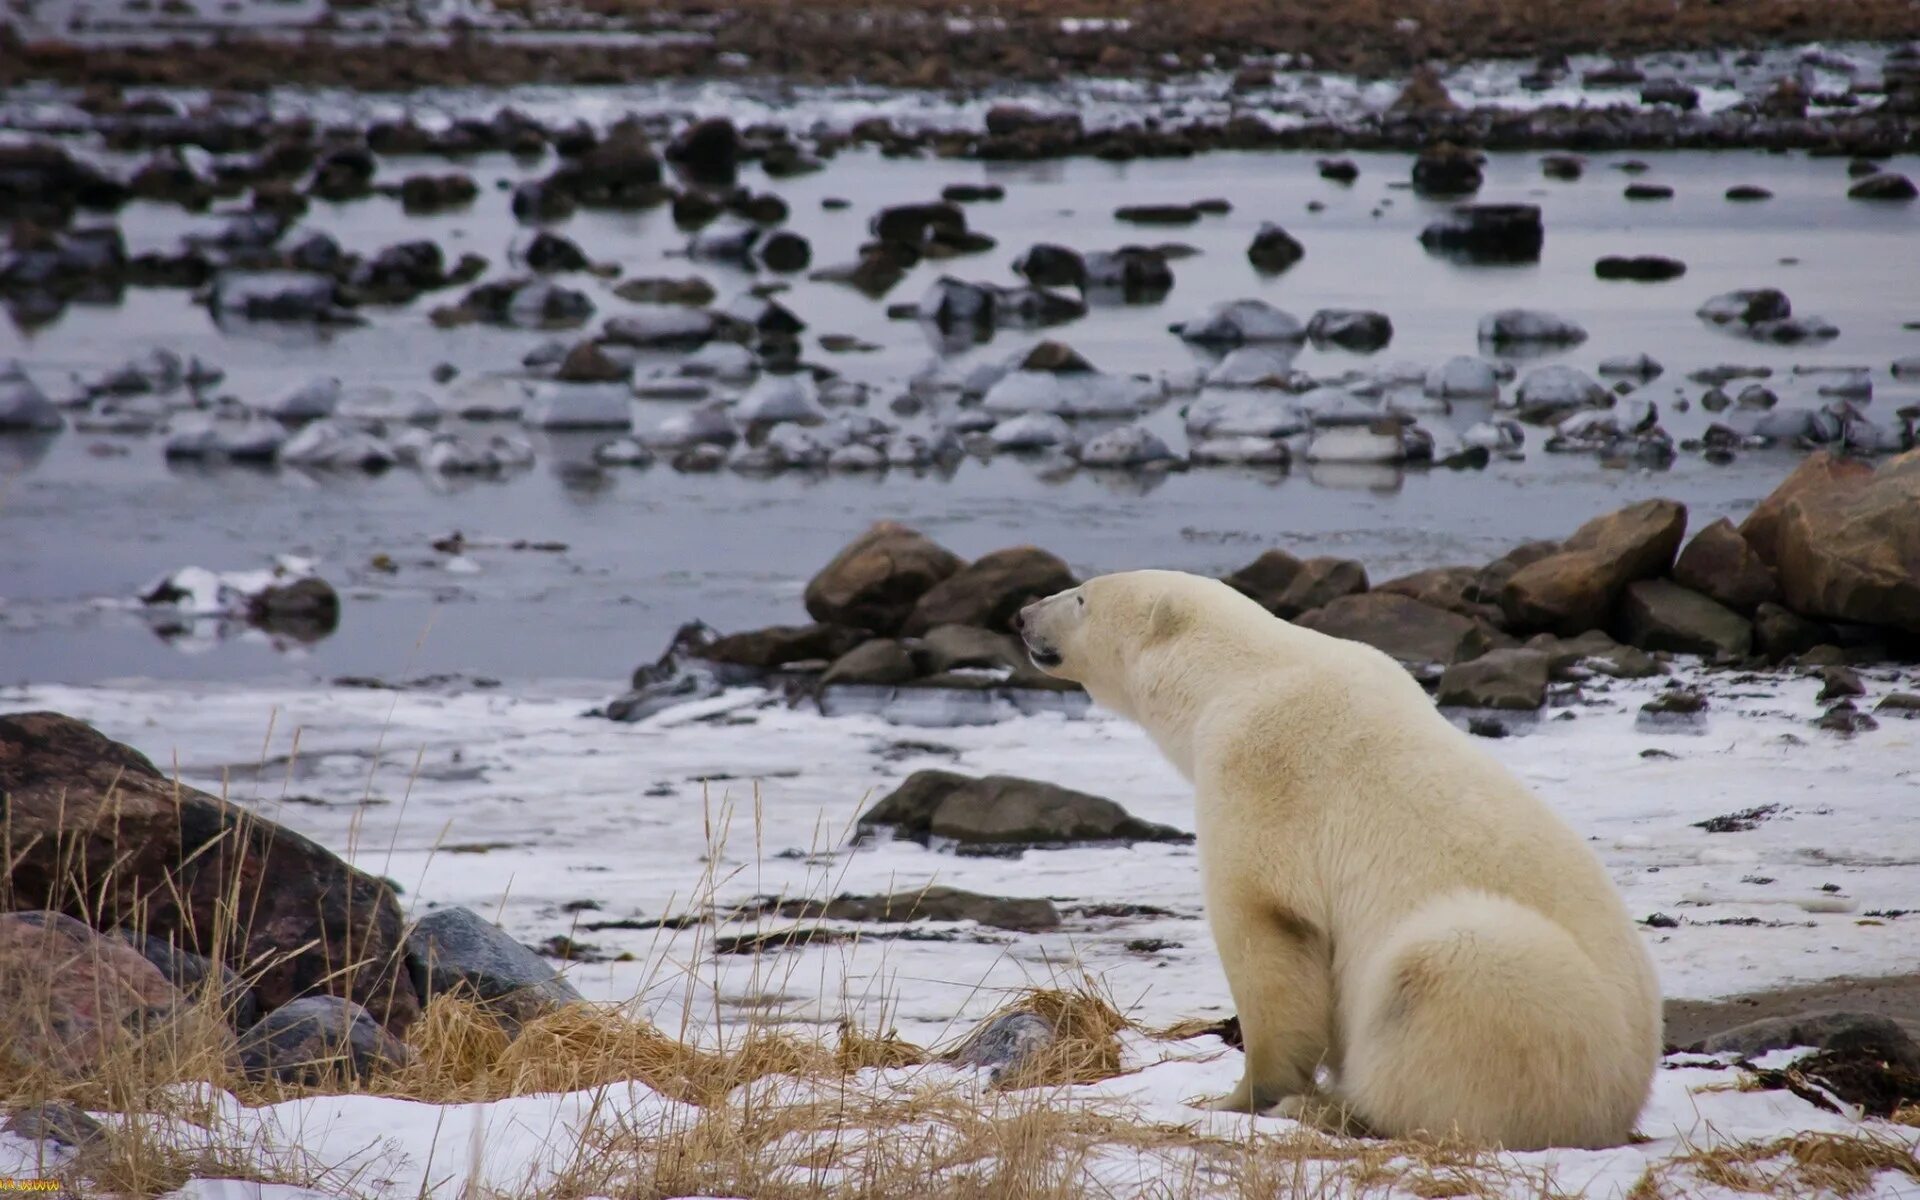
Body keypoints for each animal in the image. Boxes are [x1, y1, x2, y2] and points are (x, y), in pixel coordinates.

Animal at [1013, 572, 1658, 1152]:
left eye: (1081, 597)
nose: (1022, 615)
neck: (1238, 673)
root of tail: (1622, 1102)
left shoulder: (1259, 765)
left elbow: (1266, 924)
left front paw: (1239, 1098)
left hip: (1530, 1002)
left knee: (1438, 978)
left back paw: (1330, 1109)